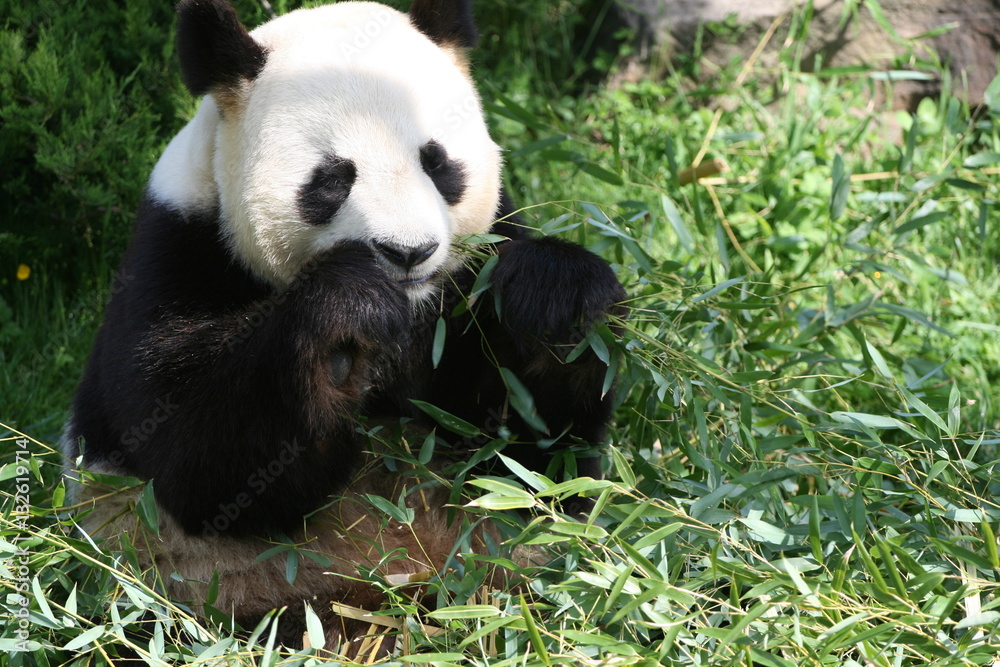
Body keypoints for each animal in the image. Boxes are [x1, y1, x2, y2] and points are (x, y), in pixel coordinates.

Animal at [65, 0, 625, 650]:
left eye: (437, 162)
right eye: (333, 178)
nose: (408, 252)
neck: (411, 313)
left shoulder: (470, 284)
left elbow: (530, 462)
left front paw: (556, 303)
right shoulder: (177, 254)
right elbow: (194, 456)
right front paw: (347, 316)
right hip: (223, 591)